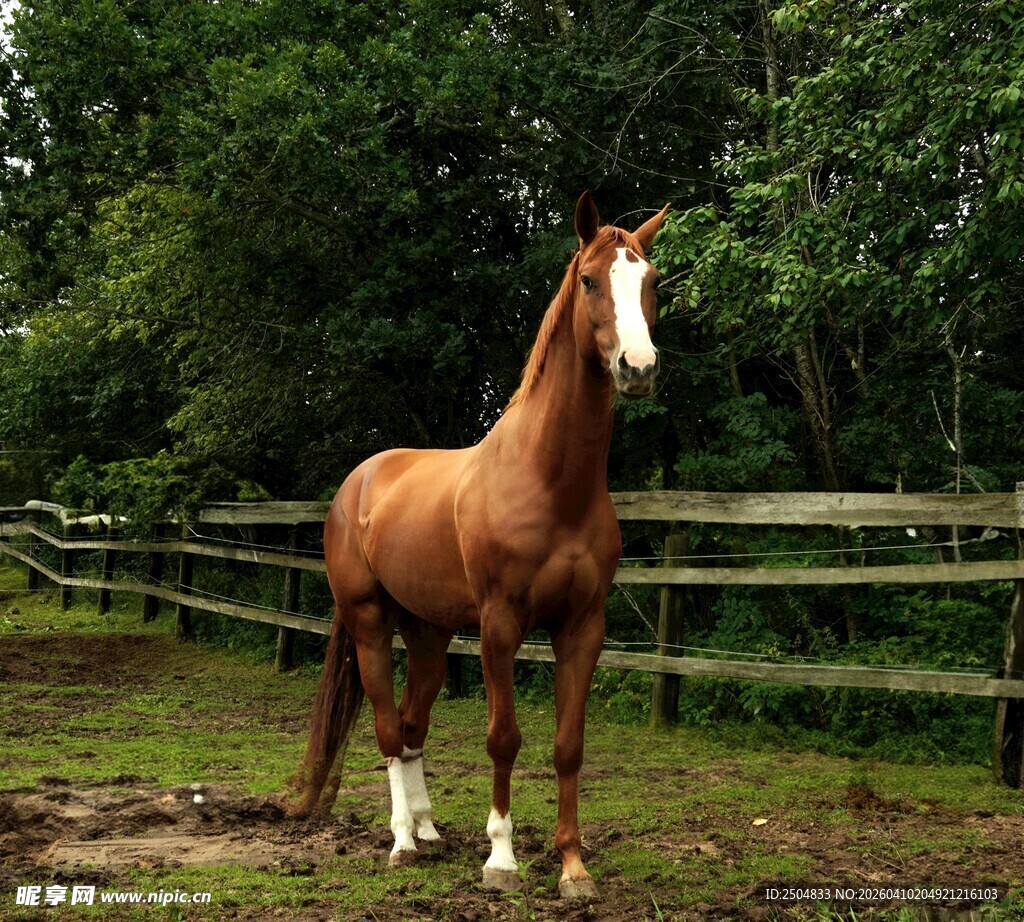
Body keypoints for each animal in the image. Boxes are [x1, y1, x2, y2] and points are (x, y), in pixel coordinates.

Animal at [286, 192, 669, 900]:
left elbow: (568, 744)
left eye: (651, 281)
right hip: (371, 624)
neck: (549, 482)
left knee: (413, 727)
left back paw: (430, 830)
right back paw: (402, 841)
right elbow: (503, 738)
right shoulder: (499, 625)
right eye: (589, 280)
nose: (638, 368)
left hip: (430, 633)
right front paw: (501, 860)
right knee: (388, 728)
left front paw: (573, 866)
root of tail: (357, 484)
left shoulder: (583, 627)